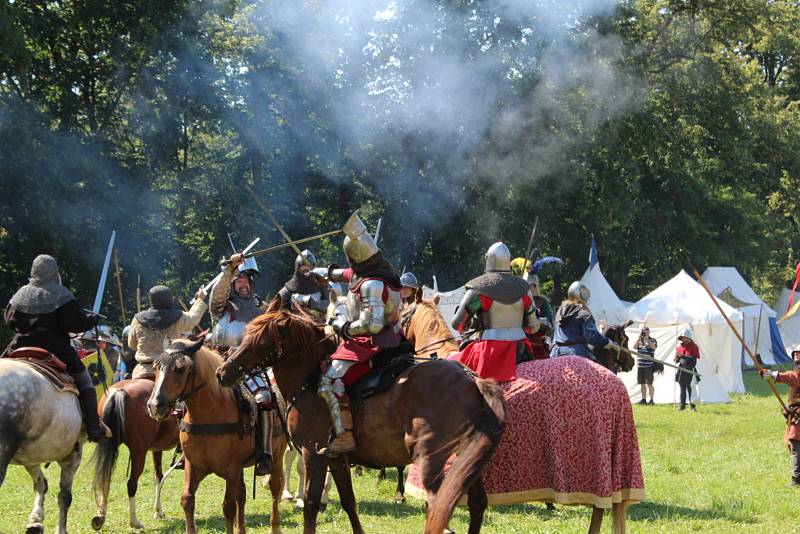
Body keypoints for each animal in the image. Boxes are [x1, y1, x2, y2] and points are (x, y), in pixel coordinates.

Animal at [0, 360, 84, 534]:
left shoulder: (30, 458)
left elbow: (41, 483)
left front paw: (36, 521)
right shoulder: (72, 457)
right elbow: (65, 496)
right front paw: (60, 529)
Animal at [90, 378, 180, 532]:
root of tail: (119, 392)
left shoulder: (157, 449)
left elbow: (159, 477)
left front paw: (158, 511)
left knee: (105, 479)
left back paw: (100, 516)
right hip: (139, 453)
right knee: (131, 484)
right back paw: (135, 522)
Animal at [147, 344, 288, 534]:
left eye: (180, 369)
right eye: (156, 368)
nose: (155, 406)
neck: (210, 414)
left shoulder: (232, 469)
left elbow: (228, 506)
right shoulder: (194, 465)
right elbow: (187, 500)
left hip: (276, 457)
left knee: (274, 488)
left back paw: (275, 526)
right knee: (242, 495)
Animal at [217, 306, 506, 534]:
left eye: (262, 343)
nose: (223, 372)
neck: (309, 377)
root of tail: (472, 379)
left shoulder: (314, 454)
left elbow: (311, 504)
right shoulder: (336, 458)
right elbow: (348, 501)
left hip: (430, 458)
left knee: (438, 507)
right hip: (466, 457)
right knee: (476, 504)